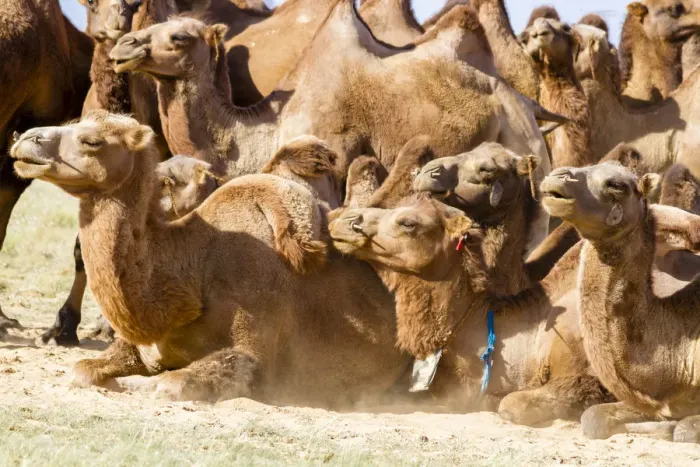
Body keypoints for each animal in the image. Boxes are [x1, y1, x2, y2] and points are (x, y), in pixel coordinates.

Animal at [10, 112, 412, 407]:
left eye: (93, 141)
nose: (26, 138)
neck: (193, 272)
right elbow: (81, 370)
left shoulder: (256, 349)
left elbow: (169, 384)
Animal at [110, 1, 559, 247]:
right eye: (150, 26)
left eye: (181, 37)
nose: (122, 47)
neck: (265, 130)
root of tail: (524, 102)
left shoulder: (332, 163)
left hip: (526, 147)